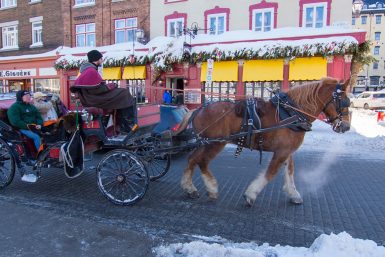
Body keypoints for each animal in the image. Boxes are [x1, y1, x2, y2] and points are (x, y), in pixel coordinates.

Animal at [176, 77, 350, 205]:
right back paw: (212, 189)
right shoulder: (282, 152)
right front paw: (251, 194)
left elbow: (290, 170)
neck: (291, 113)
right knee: (202, 161)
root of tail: (198, 109)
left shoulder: (286, 150)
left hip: (205, 142)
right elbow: (271, 172)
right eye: (344, 101)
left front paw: (293, 193)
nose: (347, 126)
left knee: (192, 159)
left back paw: (189, 188)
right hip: (215, 143)